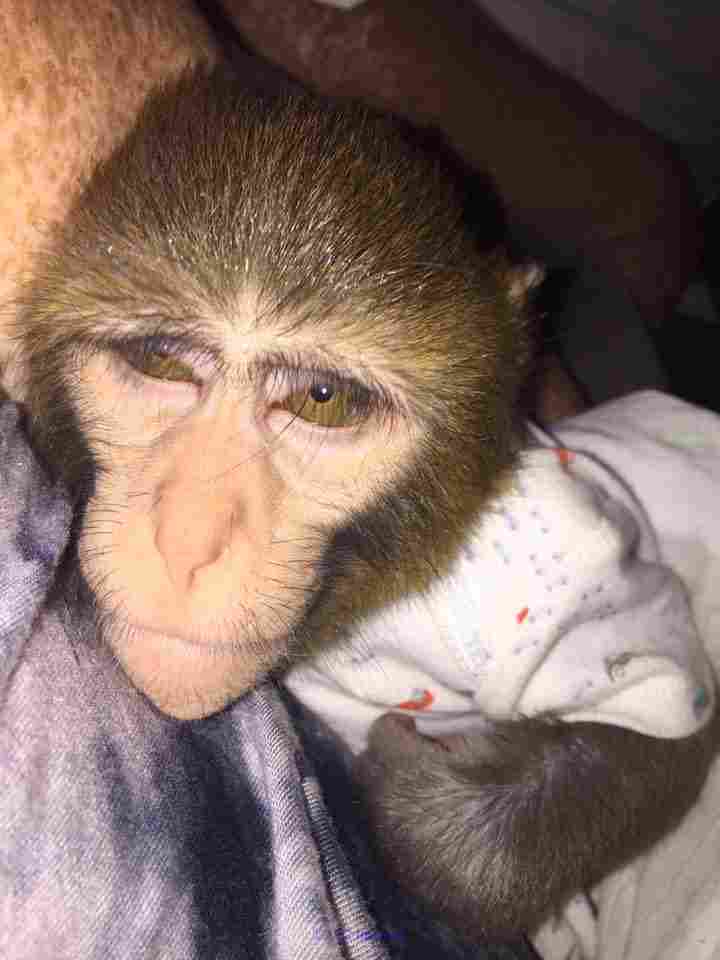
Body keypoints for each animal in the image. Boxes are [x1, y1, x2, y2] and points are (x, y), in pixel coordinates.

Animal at [6, 63, 716, 944]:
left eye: (323, 401)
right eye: (162, 360)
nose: (187, 535)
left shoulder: (538, 582)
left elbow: (669, 712)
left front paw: (417, 800)